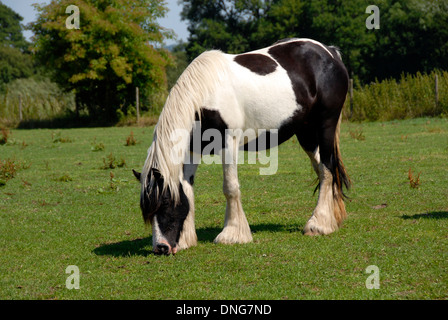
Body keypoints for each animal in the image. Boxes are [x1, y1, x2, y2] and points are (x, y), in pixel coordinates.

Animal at [132, 38, 350, 255]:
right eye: (146, 209)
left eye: (165, 201)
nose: (161, 247)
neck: (205, 95)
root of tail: (329, 52)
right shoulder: (192, 150)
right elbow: (187, 189)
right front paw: (186, 239)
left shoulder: (228, 144)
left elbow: (230, 187)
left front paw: (232, 234)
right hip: (306, 133)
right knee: (323, 170)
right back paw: (331, 219)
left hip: (326, 125)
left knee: (327, 169)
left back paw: (318, 225)